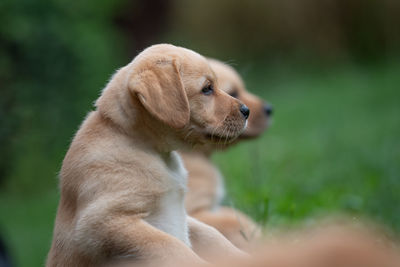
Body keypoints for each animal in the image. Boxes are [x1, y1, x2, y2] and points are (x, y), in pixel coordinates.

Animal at [47, 44, 248, 267]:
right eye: (207, 88)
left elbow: (211, 234)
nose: (246, 110)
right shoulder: (101, 222)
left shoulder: (186, 217)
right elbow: (170, 246)